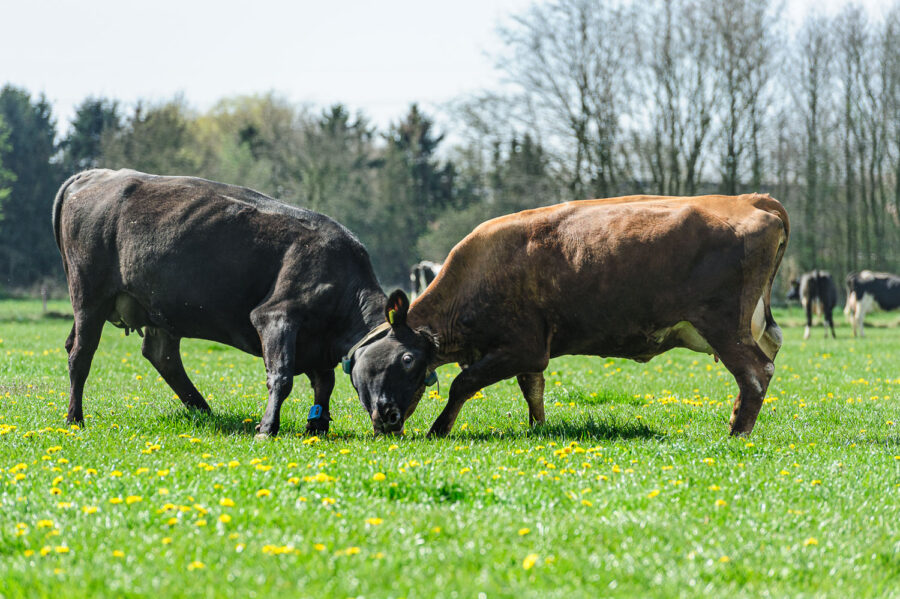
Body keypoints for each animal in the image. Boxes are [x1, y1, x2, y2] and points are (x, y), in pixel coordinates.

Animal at [51, 169, 384, 436]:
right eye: (397, 362)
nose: (391, 417)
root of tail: (93, 174)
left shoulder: (315, 344)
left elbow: (324, 383)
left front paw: (317, 426)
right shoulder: (276, 316)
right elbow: (282, 375)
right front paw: (268, 427)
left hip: (159, 307)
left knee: (160, 354)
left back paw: (204, 411)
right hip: (88, 295)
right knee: (81, 354)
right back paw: (74, 419)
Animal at [346, 195, 788, 438]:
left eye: (406, 359)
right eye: (356, 378)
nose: (385, 416)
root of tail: (751, 199)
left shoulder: (521, 347)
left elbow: (462, 383)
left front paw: (440, 428)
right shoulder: (529, 353)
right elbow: (533, 390)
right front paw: (538, 428)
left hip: (723, 325)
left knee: (756, 372)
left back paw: (737, 431)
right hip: (752, 327)